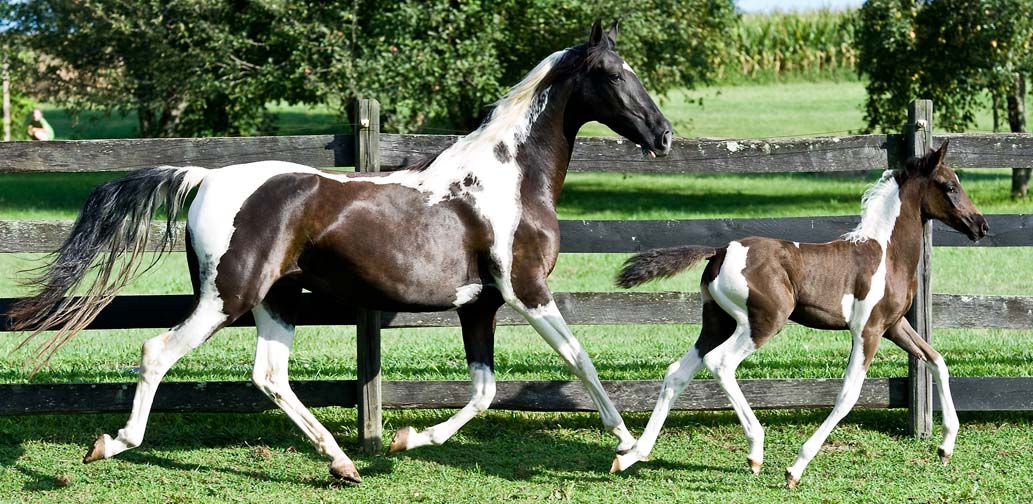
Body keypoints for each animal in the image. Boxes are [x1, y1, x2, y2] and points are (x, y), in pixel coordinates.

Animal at [8, 20, 673, 483]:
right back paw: (111, 443)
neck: (506, 180)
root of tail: (204, 177)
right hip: (228, 296)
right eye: (614, 74)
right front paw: (628, 448)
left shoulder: (477, 305)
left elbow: (484, 391)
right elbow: (580, 361)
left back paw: (342, 463)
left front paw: (406, 439)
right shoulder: (526, 290)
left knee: (269, 375)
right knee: (157, 351)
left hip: (276, 298)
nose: (663, 136)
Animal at [607, 139, 987, 485]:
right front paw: (796, 467)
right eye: (950, 186)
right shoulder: (868, 330)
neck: (886, 252)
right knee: (721, 363)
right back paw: (755, 451)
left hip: (716, 323)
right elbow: (849, 393)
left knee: (677, 373)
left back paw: (631, 455)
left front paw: (946, 447)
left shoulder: (893, 326)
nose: (980, 225)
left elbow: (937, 361)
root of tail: (720, 251)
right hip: (762, 322)